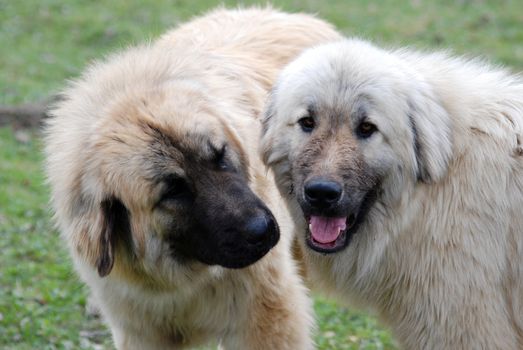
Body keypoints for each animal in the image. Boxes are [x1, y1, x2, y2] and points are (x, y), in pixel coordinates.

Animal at [44, 8, 340, 350]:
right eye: (173, 191)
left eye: (221, 156)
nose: (263, 231)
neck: (185, 282)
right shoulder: (143, 330)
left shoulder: (262, 320)